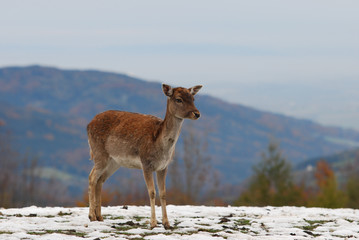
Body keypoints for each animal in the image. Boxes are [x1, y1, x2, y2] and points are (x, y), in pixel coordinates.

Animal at [86, 84, 202, 229]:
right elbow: (152, 192)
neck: (161, 147)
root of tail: (88, 124)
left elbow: (163, 193)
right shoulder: (146, 163)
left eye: (193, 98)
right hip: (99, 153)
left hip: (114, 162)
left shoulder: (164, 166)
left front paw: (167, 223)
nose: (197, 113)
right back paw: (91, 216)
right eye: (179, 99)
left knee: (100, 180)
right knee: (92, 177)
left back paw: (99, 217)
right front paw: (153, 223)